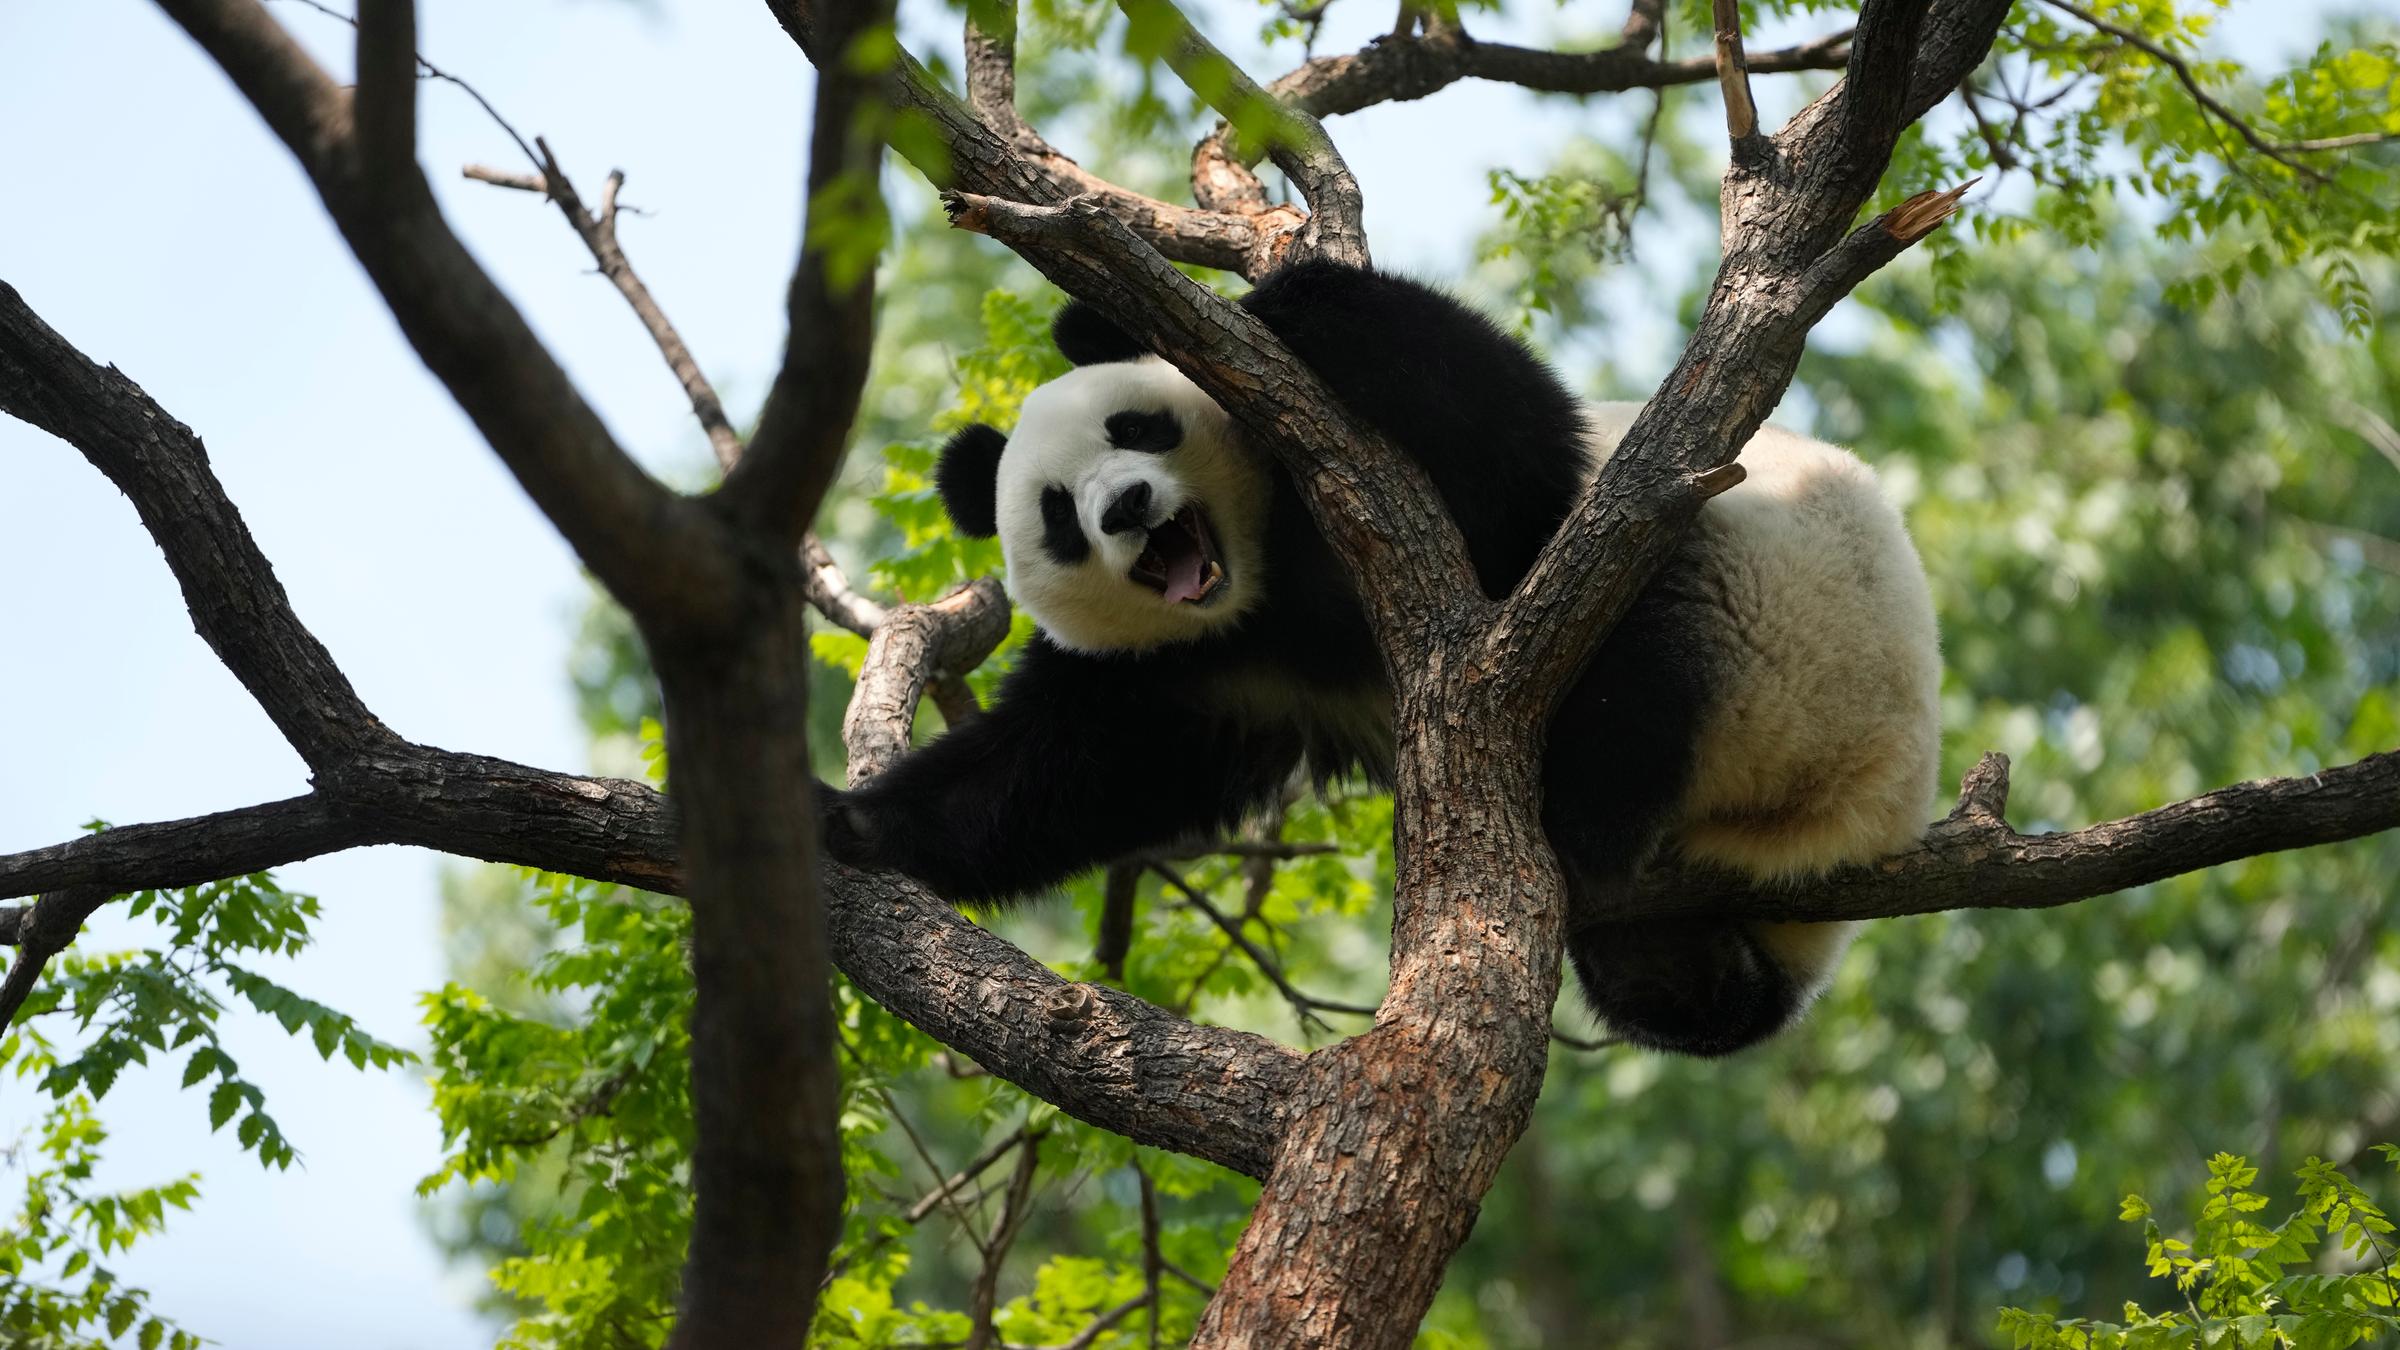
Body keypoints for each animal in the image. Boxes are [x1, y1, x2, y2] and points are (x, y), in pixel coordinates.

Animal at [821, 261, 1941, 1057]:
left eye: (1134, 425)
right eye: (1057, 515)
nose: (1128, 508)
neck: (1268, 573)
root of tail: (1849, 819)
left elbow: (1507, 430)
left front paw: (1227, 305)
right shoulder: (1196, 670)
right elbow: (1061, 771)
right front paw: (848, 822)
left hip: (1778, 615)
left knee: (1640, 655)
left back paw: (1565, 821)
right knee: (1669, 983)